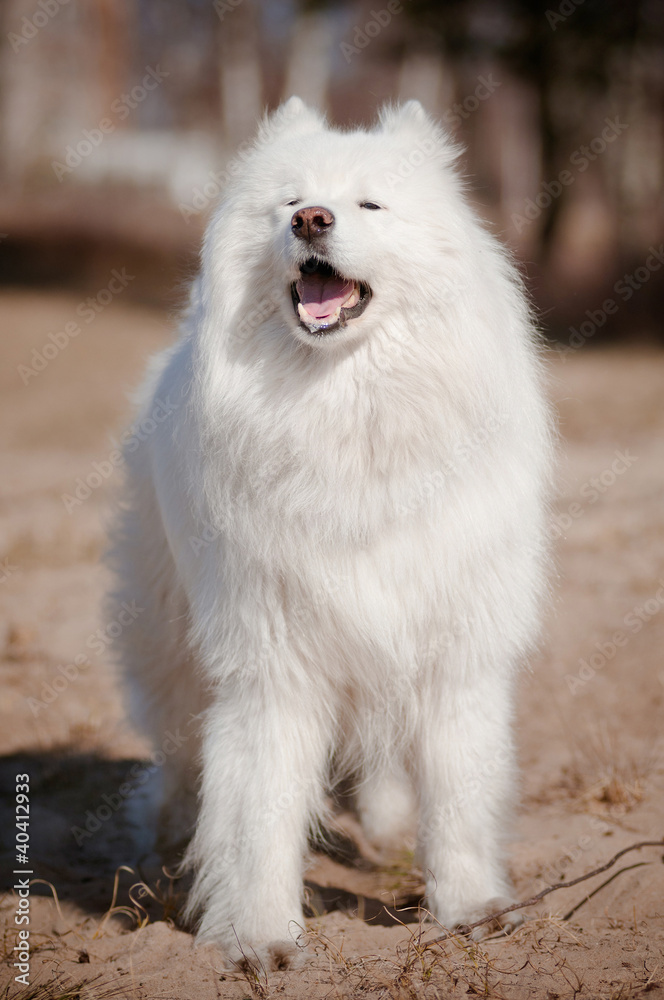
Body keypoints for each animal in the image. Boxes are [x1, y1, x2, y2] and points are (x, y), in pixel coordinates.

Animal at [109, 97, 552, 964]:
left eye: (369, 206)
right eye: (290, 202)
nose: (311, 220)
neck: (349, 411)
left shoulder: (451, 648)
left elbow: (458, 793)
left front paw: (470, 907)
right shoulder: (273, 655)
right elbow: (260, 809)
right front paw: (257, 936)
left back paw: (384, 825)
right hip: (172, 642)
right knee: (178, 753)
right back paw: (167, 836)